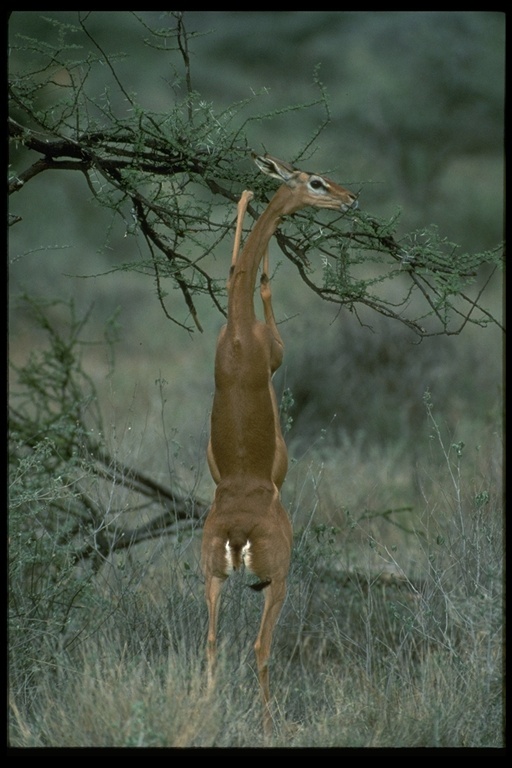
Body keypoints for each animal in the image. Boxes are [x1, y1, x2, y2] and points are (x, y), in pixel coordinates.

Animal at [200, 154, 356, 736]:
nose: (350, 198)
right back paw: (271, 728)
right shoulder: (277, 352)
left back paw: (204, 716)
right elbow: (261, 282)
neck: (238, 333)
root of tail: (239, 532)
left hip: (210, 580)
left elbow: (231, 268)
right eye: (316, 181)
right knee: (261, 647)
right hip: (280, 581)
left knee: (212, 642)